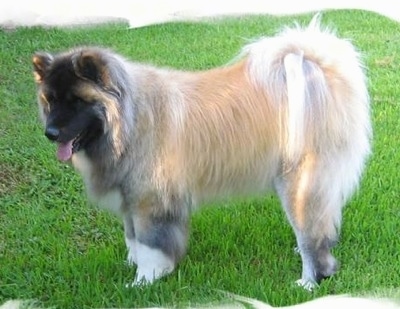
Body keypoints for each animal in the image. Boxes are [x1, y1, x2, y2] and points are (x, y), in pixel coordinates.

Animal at [31, 14, 372, 288]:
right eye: (50, 100)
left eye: (77, 101)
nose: (50, 134)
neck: (130, 117)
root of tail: (320, 70)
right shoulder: (130, 198)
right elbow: (133, 240)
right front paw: (133, 265)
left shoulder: (150, 202)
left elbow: (150, 246)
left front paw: (143, 281)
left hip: (298, 184)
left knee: (311, 235)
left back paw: (309, 282)